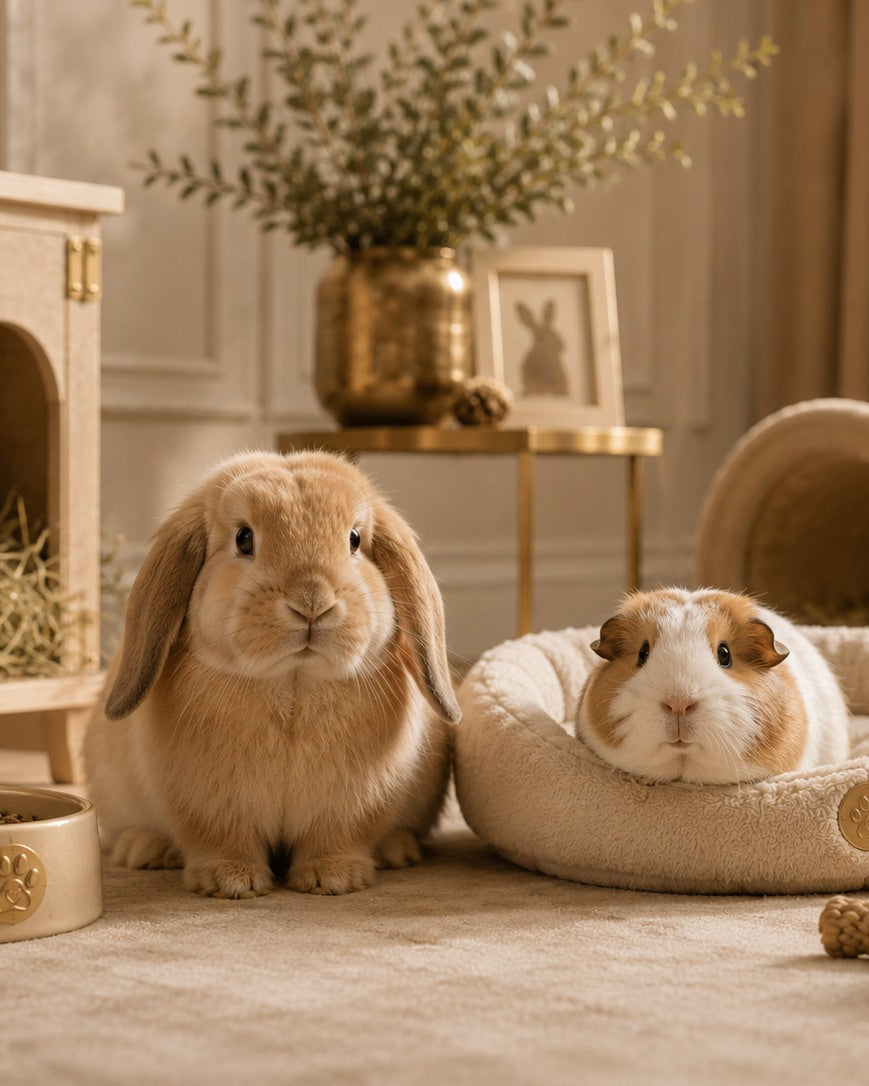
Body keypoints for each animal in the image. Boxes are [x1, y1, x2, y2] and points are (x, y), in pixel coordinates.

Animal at [84, 450, 460, 897]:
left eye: (354, 539)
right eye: (244, 539)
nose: (312, 602)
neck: (294, 683)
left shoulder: (350, 807)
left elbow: (336, 839)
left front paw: (333, 879)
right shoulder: (208, 807)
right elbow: (221, 840)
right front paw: (231, 882)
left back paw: (397, 851)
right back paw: (143, 850)